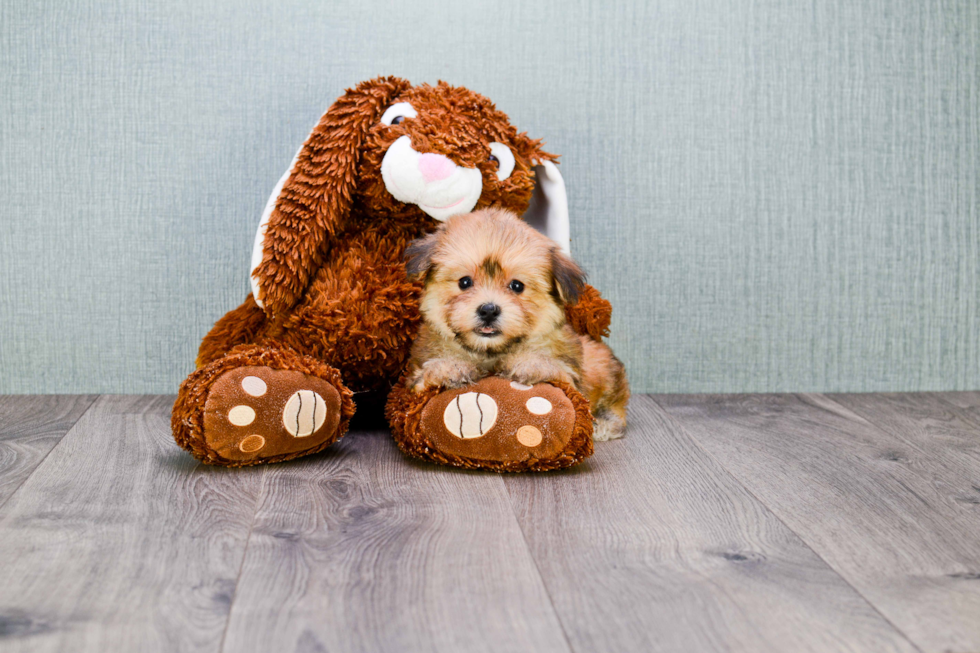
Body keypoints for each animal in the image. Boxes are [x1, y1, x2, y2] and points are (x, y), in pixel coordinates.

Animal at [404, 206, 628, 440]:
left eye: (517, 286)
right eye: (464, 282)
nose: (488, 310)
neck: (490, 351)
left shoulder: (570, 378)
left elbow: (552, 367)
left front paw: (530, 364)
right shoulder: (412, 382)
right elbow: (426, 376)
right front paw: (450, 367)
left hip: (600, 362)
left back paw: (604, 424)